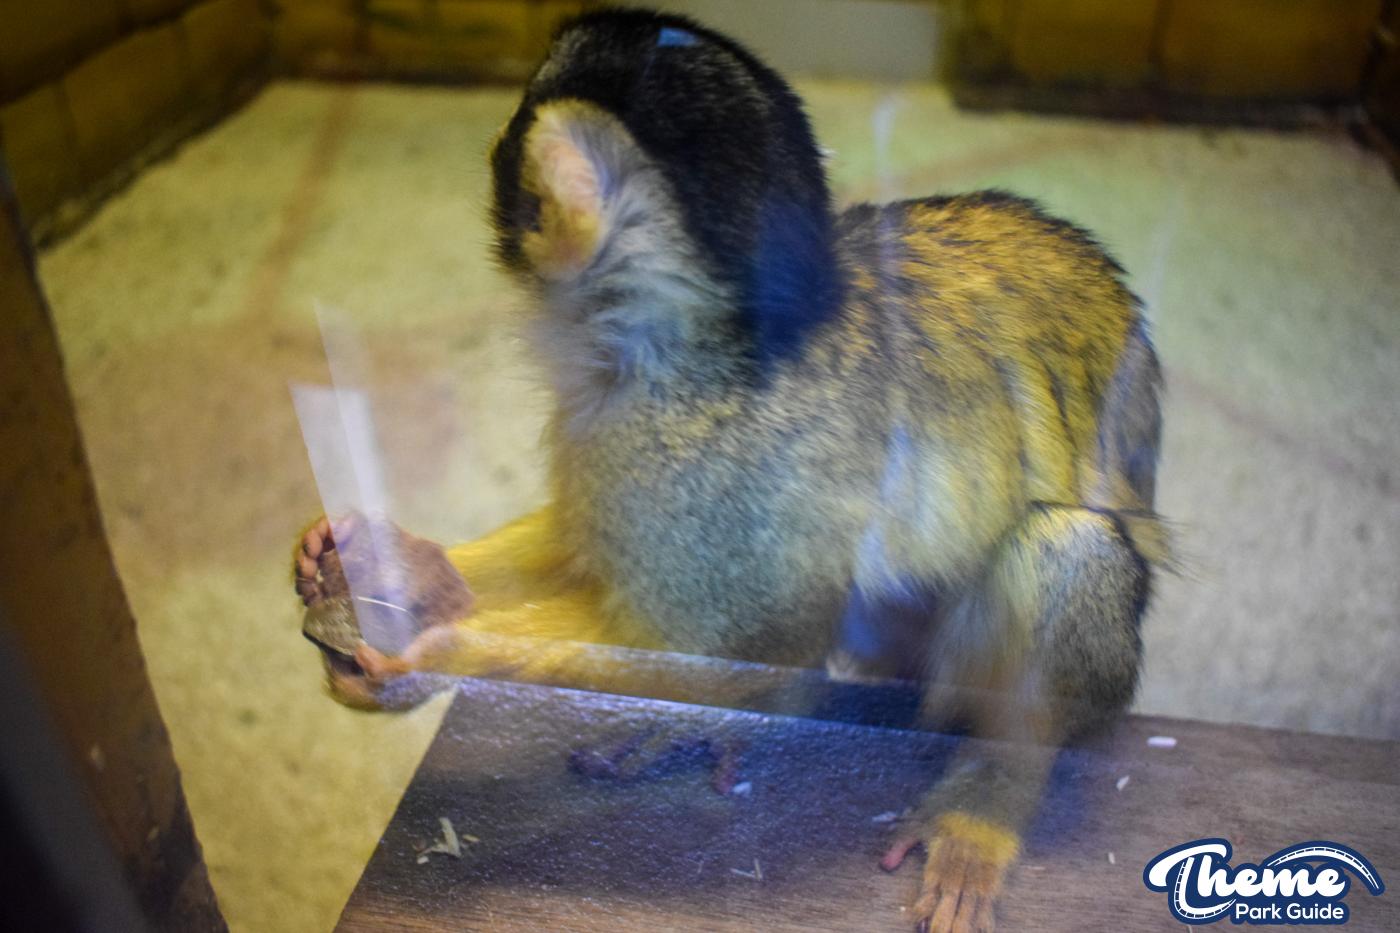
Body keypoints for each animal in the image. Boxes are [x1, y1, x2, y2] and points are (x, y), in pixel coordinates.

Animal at [292, 9, 1168, 932]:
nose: (494, 140)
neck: (694, 345)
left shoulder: (687, 452)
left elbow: (753, 656)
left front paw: (438, 650)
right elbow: (586, 544)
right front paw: (402, 562)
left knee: (1064, 547)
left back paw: (990, 793)